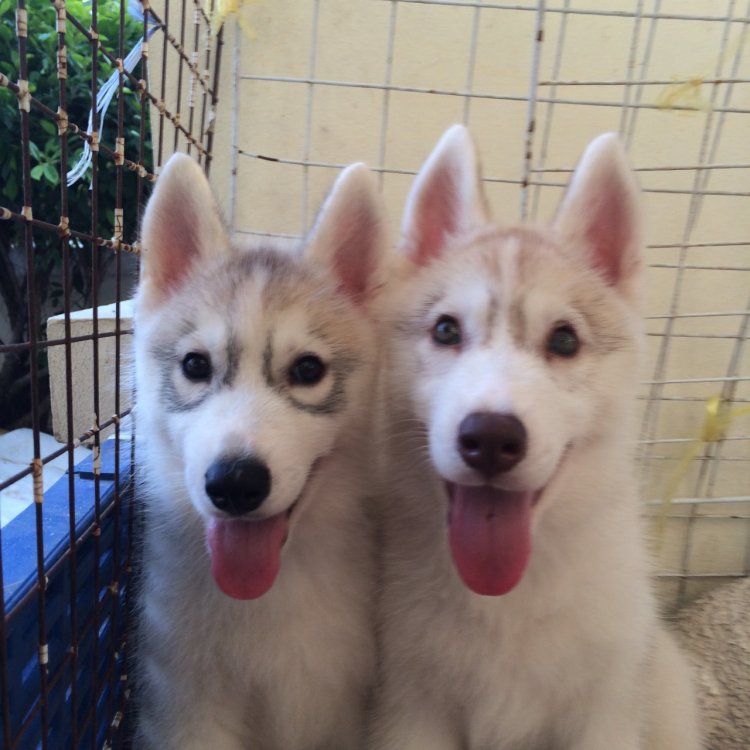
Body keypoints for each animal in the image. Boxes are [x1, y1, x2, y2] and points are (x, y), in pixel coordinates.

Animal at [369, 125, 701, 749]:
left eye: (565, 340)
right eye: (446, 329)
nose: (490, 438)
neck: (508, 599)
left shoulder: (606, 714)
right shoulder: (409, 708)